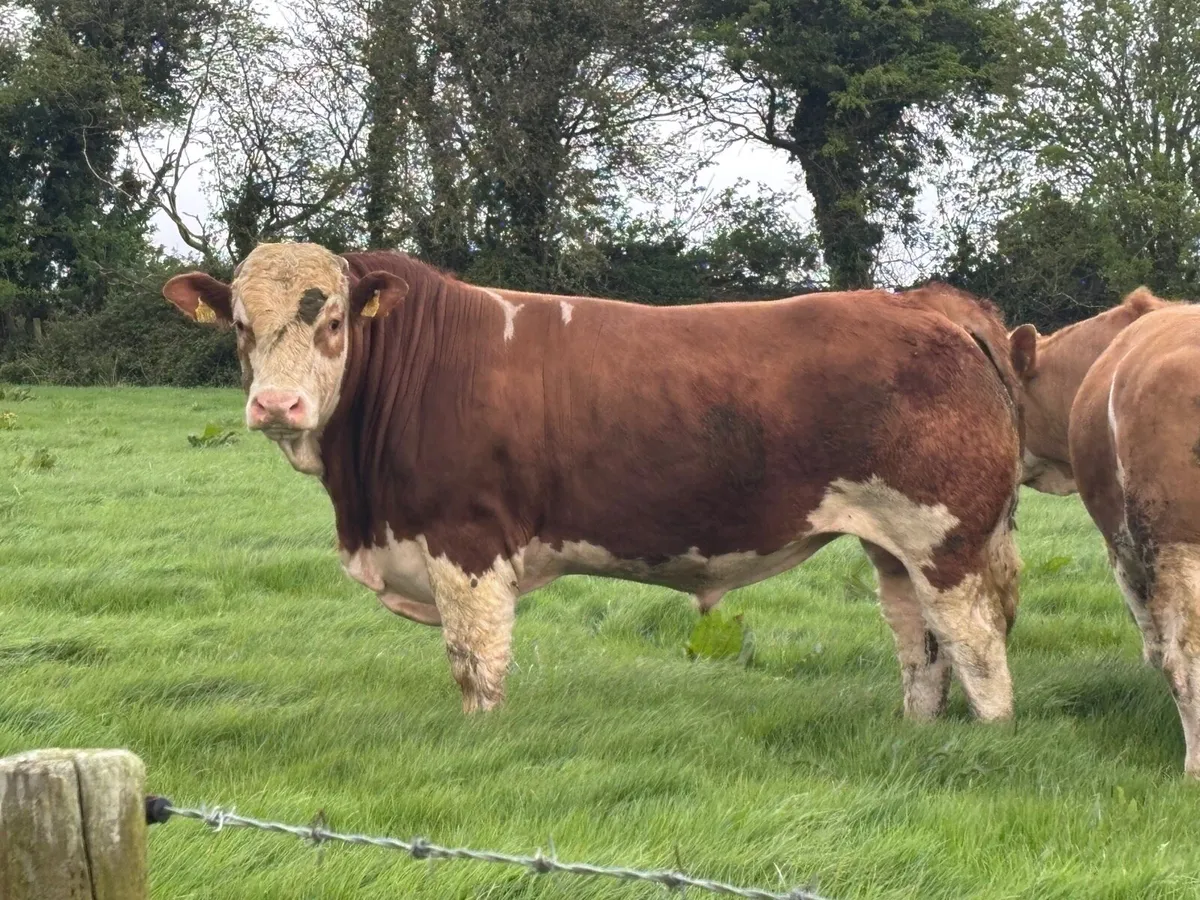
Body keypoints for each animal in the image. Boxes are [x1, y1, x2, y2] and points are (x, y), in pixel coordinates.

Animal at [163, 243, 1022, 720]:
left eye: (335, 320)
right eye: (240, 325)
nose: (277, 405)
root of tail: (924, 304)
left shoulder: (466, 542)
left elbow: (477, 665)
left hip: (946, 539)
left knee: (977, 645)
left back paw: (993, 734)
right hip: (895, 545)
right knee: (920, 646)